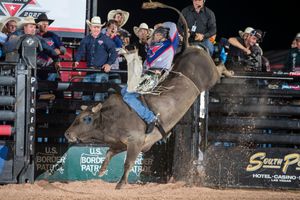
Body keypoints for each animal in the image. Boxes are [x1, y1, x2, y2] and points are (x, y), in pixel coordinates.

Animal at [63, 1, 232, 189]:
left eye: (86, 119)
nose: (67, 134)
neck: (109, 118)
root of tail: (189, 47)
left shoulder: (135, 141)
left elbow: (128, 163)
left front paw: (120, 184)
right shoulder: (121, 143)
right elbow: (108, 152)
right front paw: (101, 170)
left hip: (211, 77)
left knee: (219, 69)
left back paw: (228, 70)